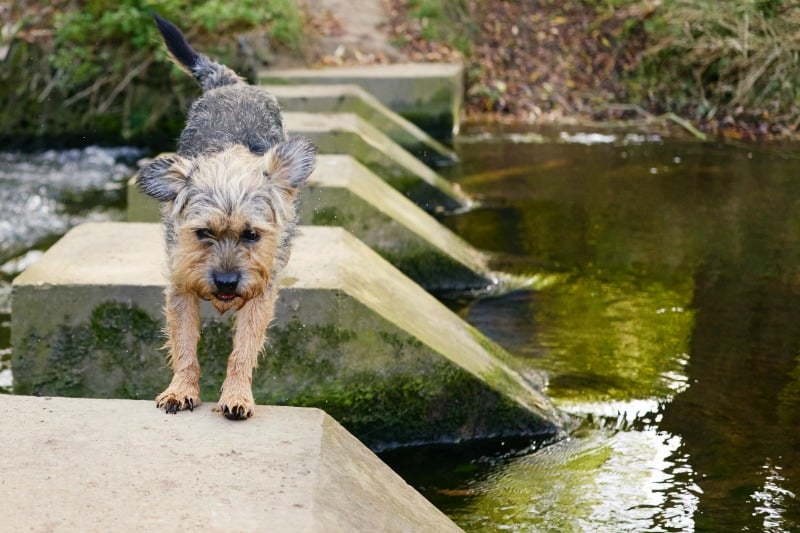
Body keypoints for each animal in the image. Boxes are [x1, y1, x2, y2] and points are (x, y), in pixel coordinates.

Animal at [134, 14, 316, 418]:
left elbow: (243, 348)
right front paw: (180, 389)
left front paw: (236, 394)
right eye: (203, 233)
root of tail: (231, 83)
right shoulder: (181, 284)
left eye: (252, 235)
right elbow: (185, 345)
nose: (227, 282)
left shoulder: (261, 289)